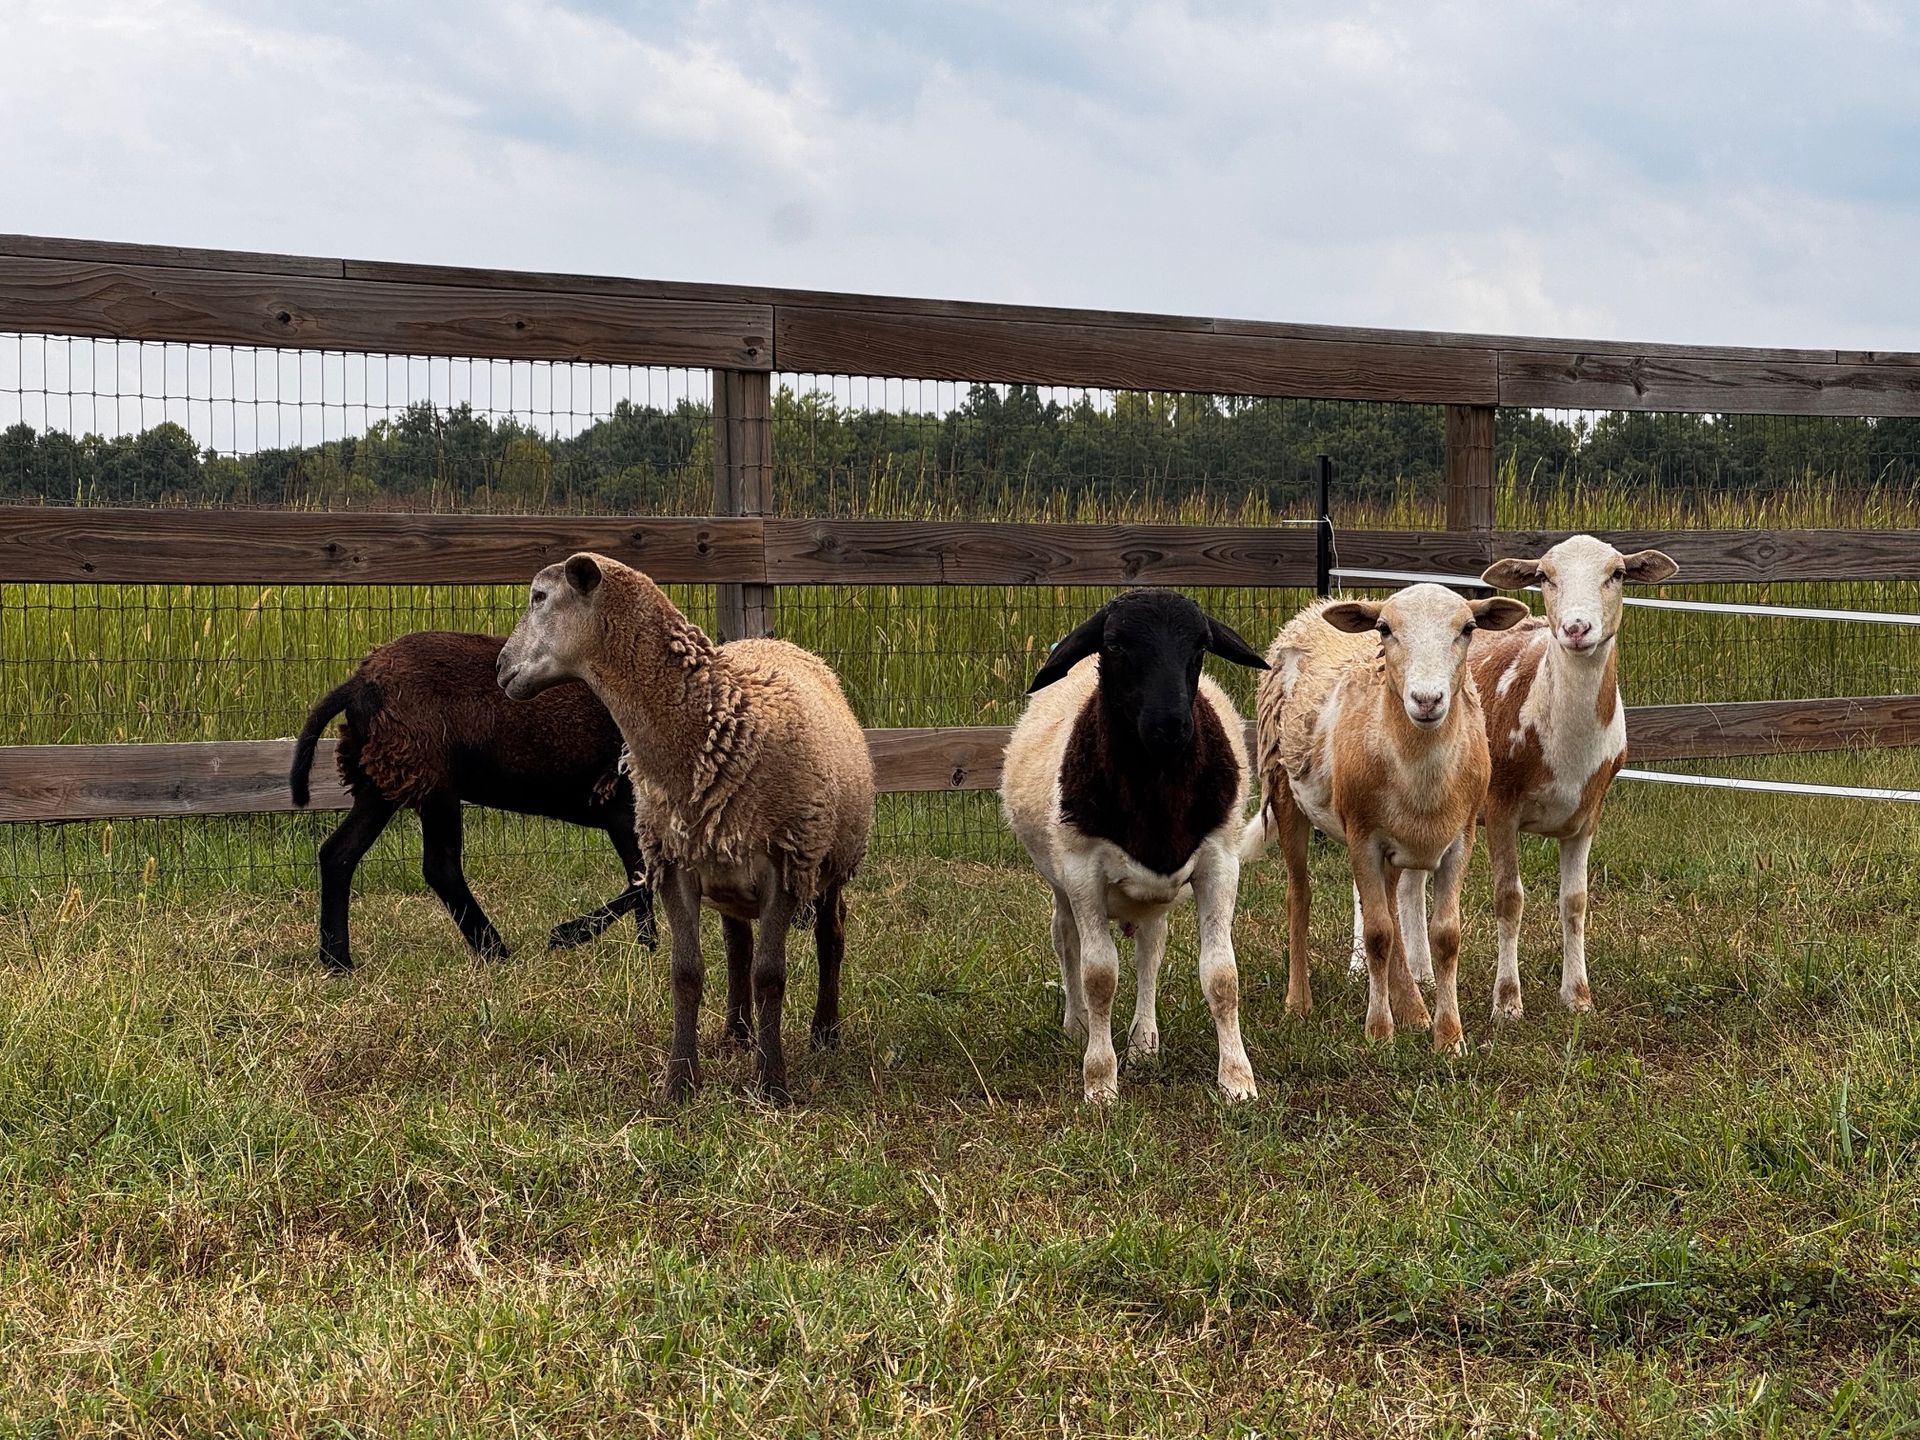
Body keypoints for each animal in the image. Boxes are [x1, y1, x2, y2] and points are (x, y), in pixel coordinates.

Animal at [290, 630, 656, 972]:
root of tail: (359, 683)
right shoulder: (624, 810)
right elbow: (643, 880)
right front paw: (569, 935)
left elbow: (641, 881)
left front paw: (648, 950)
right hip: (433, 780)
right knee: (440, 867)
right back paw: (494, 949)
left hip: (381, 782)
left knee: (338, 853)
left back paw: (337, 960)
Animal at [496, 552, 875, 1103]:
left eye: (539, 597)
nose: (500, 667)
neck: (718, 726)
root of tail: (780, 642)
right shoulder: (673, 864)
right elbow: (687, 973)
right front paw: (679, 1084)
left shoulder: (784, 861)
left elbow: (770, 976)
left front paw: (772, 1085)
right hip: (727, 870)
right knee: (737, 946)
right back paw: (737, 1033)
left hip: (828, 859)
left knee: (831, 935)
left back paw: (824, 1032)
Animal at [1000, 589, 1270, 1104]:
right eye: (1116, 646)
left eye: (1200, 647)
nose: (1170, 726)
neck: (1158, 793)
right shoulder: (1082, 870)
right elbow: (1099, 976)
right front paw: (1100, 1082)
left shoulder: (1220, 863)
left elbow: (1222, 976)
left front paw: (1238, 1080)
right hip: (1063, 884)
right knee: (1066, 940)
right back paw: (1079, 1025)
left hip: (1151, 899)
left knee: (1151, 948)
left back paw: (1144, 1040)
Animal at [1243, 584, 1530, 1051]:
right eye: (1384, 629)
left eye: (1468, 628)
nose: (1427, 700)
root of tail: (1318, 606)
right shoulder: (1362, 837)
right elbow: (1377, 934)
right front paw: (1379, 1032)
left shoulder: (1461, 838)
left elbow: (1445, 936)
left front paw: (1449, 1038)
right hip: (1286, 792)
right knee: (1299, 895)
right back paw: (1298, 1002)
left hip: (1396, 841)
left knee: (1393, 906)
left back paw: (1413, 1009)